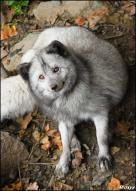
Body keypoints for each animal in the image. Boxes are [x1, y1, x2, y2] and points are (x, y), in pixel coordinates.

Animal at [0, 26, 127, 177]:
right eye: (41, 77)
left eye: (56, 69)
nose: (53, 87)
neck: (68, 101)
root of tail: (51, 29)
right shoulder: (65, 119)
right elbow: (64, 144)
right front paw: (63, 162)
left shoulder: (100, 113)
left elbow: (101, 137)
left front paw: (103, 156)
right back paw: (74, 142)